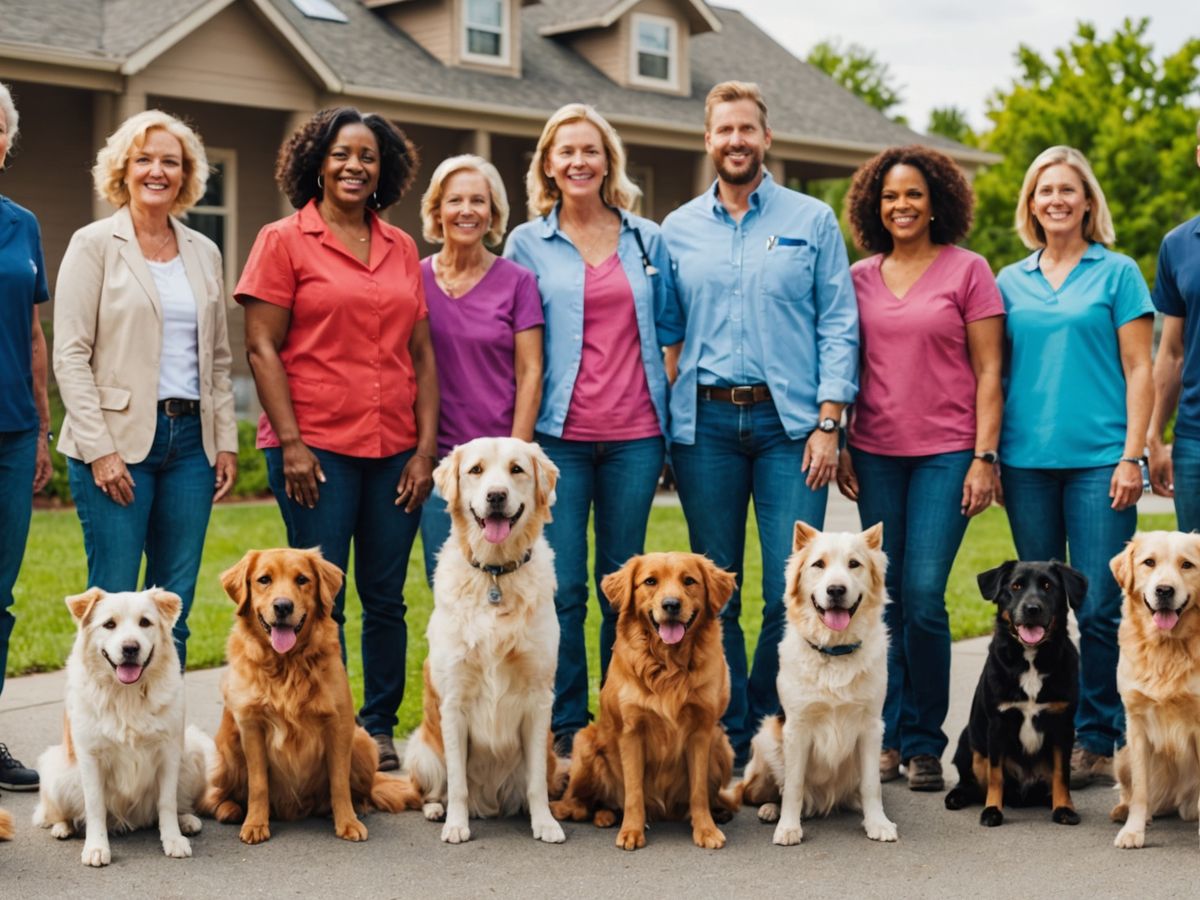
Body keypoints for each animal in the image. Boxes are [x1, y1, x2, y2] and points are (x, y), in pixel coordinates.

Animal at [32, 592, 213, 868]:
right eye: (109, 624)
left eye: (145, 622)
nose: (130, 648)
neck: (127, 694)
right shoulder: (90, 756)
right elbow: (95, 805)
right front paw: (96, 847)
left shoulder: (170, 752)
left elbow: (167, 801)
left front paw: (173, 839)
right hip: (55, 770)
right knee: (59, 812)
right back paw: (63, 827)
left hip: (193, 752)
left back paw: (186, 820)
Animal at [400, 436, 564, 844]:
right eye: (475, 470)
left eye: (516, 469)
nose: (496, 495)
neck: (495, 574)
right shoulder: (454, 701)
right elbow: (457, 782)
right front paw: (456, 825)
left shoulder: (538, 699)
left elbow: (536, 783)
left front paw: (545, 823)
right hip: (422, 751)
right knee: (431, 788)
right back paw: (436, 809)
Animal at [734, 520, 897, 844]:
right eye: (818, 564)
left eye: (854, 564)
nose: (836, 590)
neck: (834, 651)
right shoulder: (797, 728)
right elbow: (794, 785)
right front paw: (788, 826)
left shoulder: (871, 727)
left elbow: (871, 784)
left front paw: (877, 823)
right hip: (767, 738)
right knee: (757, 792)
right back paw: (771, 809)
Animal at [945, 564, 1089, 830]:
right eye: (1016, 586)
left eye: (1047, 586)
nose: (1032, 609)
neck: (1030, 658)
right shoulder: (997, 723)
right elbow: (995, 775)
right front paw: (992, 810)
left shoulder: (1063, 725)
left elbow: (1061, 774)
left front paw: (1064, 808)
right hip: (967, 738)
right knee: (971, 781)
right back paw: (957, 796)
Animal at [1104, 532, 1200, 849]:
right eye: (1149, 562)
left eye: (1187, 565)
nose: (1165, 591)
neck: (1166, 646)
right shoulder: (1135, 723)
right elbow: (1141, 790)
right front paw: (1133, 831)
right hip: (1122, 755)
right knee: (1135, 794)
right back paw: (1126, 812)